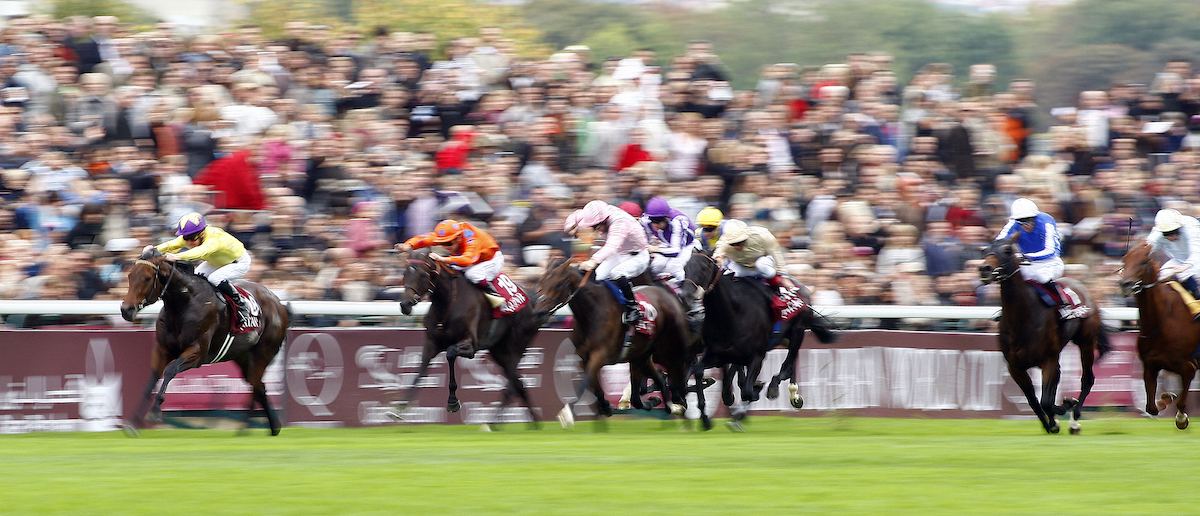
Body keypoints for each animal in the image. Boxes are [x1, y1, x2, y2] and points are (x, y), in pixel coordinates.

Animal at [118, 249, 289, 434]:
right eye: (129, 276)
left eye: (147, 278)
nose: (126, 310)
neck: (183, 303)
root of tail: (279, 303)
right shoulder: (162, 349)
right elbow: (152, 379)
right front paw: (133, 423)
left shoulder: (197, 351)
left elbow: (170, 370)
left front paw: (155, 411)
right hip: (243, 357)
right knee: (259, 388)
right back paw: (266, 428)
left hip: (262, 353)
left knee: (257, 386)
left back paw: (254, 428)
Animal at [388, 248, 540, 427]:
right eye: (404, 273)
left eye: (423, 275)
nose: (405, 305)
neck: (447, 302)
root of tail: (534, 301)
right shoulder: (431, 343)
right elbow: (420, 370)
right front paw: (400, 408)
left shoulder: (470, 345)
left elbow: (450, 353)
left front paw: (453, 402)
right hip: (500, 351)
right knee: (518, 383)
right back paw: (534, 423)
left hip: (516, 347)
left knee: (512, 385)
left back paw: (493, 423)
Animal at [530, 260, 691, 429]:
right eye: (541, 282)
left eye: (559, 284)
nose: (538, 313)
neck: (592, 311)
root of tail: (672, 298)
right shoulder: (583, 357)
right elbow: (593, 385)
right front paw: (606, 407)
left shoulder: (600, 354)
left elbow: (584, 381)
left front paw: (566, 413)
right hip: (642, 356)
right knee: (654, 383)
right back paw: (666, 405)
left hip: (673, 352)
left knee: (679, 380)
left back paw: (682, 410)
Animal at [979, 240, 1108, 434]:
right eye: (985, 250)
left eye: (1007, 251)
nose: (984, 269)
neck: (1022, 318)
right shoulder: (1015, 367)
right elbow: (1034, 401)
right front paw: (1051, 423)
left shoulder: (1048, 359)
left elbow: (1045, 401)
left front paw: (1064, 408)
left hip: (1086, 342)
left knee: (1087, 379)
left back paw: (1075, 420)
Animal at [1113, 243, 1200, 429]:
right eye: (1124, 259)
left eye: (1143, 261)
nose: (1125, 284)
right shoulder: (1150, 365)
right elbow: (1151, 407)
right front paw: (1166, 397)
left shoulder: (1188, 366)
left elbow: (1181, 402)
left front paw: (1181, 418)